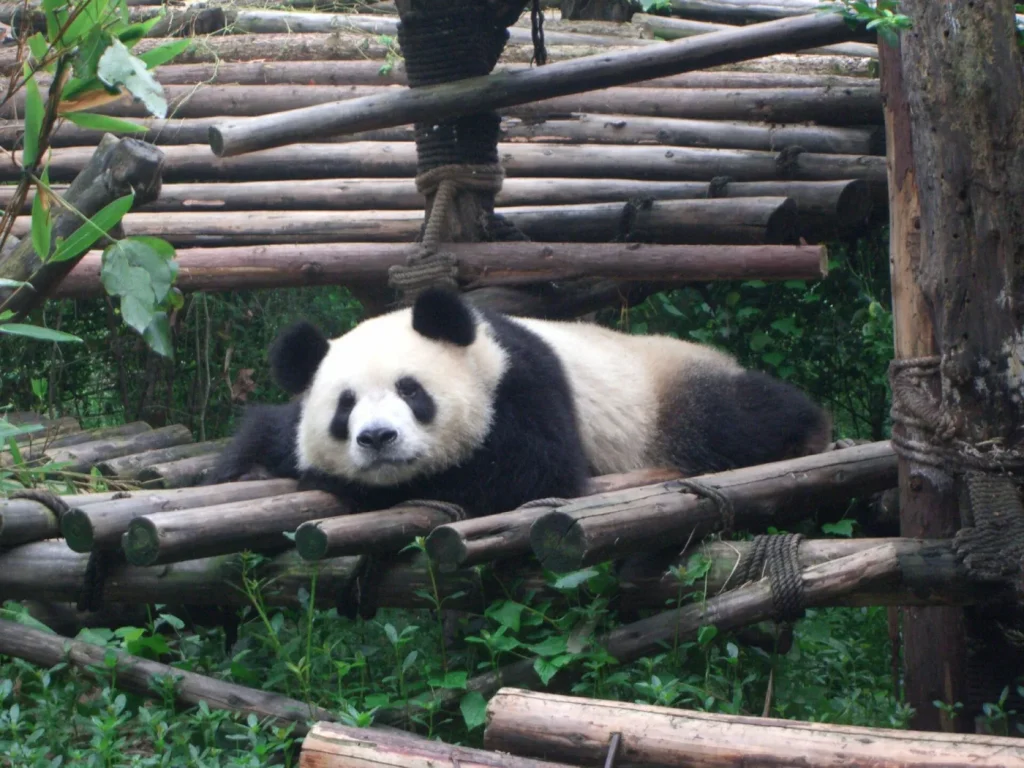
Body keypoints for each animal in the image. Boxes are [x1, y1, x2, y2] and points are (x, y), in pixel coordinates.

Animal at [208, 287, 831, 518]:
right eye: (345, 407)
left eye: (412, 391)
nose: (378, 438)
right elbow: (269, 430)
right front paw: (251, 467)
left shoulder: (524, 384)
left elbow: (529, 471)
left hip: (670, 392)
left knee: (736, 417)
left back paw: (807, 430)